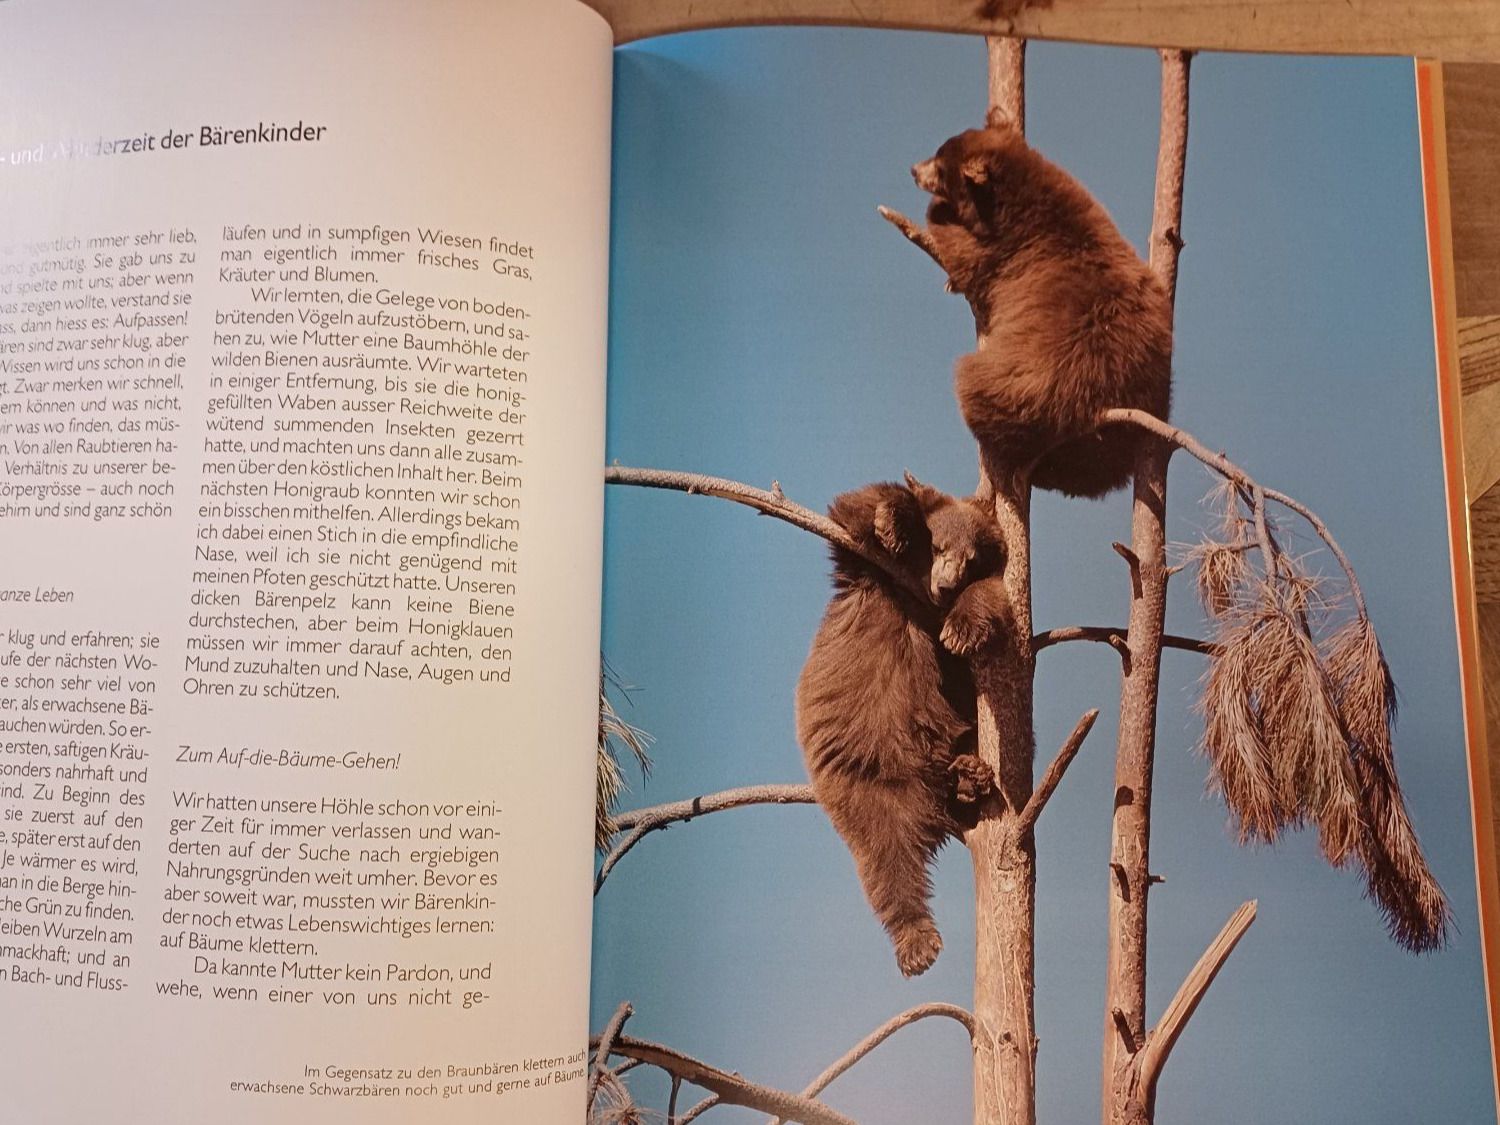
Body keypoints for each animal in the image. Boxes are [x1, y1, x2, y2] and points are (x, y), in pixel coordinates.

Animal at [796, 474, 1012, 977]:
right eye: (939, 546)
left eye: (970, 560)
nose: (946, 584)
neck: (921, 597)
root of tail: (928, 807)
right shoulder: (866, 574)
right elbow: (854, 510)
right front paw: (895, 522)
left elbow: (992, 598)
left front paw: (962, 628)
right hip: (867, 785)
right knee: (887, 864)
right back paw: (917, 942)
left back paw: (970, 775)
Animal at [910, 108, 1174, 499]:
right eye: (939, 148)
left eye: (941, 165)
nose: (913, 169)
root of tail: (1099, 407)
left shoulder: (1003, 250)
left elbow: (964, 257)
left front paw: (939, 213)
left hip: (1015, 388)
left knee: (976, 390)